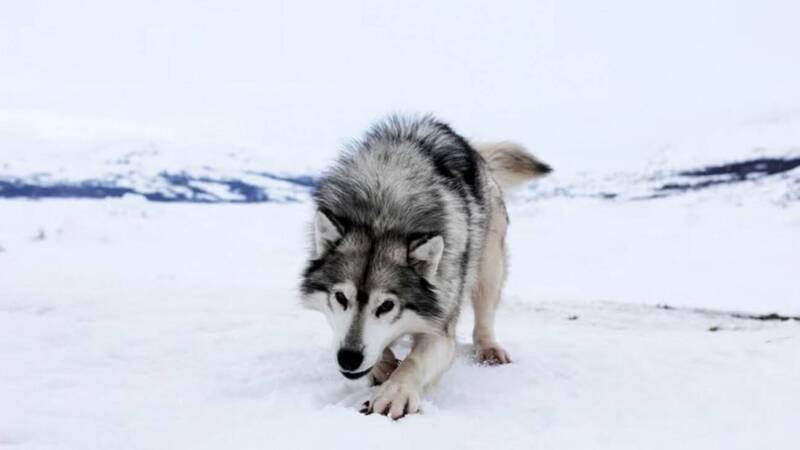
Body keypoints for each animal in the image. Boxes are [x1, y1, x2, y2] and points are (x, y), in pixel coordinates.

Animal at [300, 115, 552, 418]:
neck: (382, 215)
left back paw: (488, 348)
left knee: (484, 316)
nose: (349, 358)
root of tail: (474, 151)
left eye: (386, 305)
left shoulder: (440, 326)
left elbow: (414, 362)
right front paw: (382, 365)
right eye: (340, 297)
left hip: (489, 267)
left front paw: (395, 393)